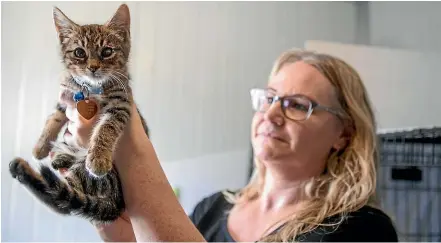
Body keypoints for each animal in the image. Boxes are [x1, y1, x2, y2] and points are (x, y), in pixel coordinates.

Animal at [8, 4, 149, 224]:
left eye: (107, 51)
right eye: (79, 52)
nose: (93, 67)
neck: (91, 88)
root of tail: (117, 203)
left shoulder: (121, 103)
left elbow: (106, 127)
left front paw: (99, 157)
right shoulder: (66, 98)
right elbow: (55, 117)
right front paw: (40, 146)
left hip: (91, 174)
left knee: (63, 200)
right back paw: (46, 161)